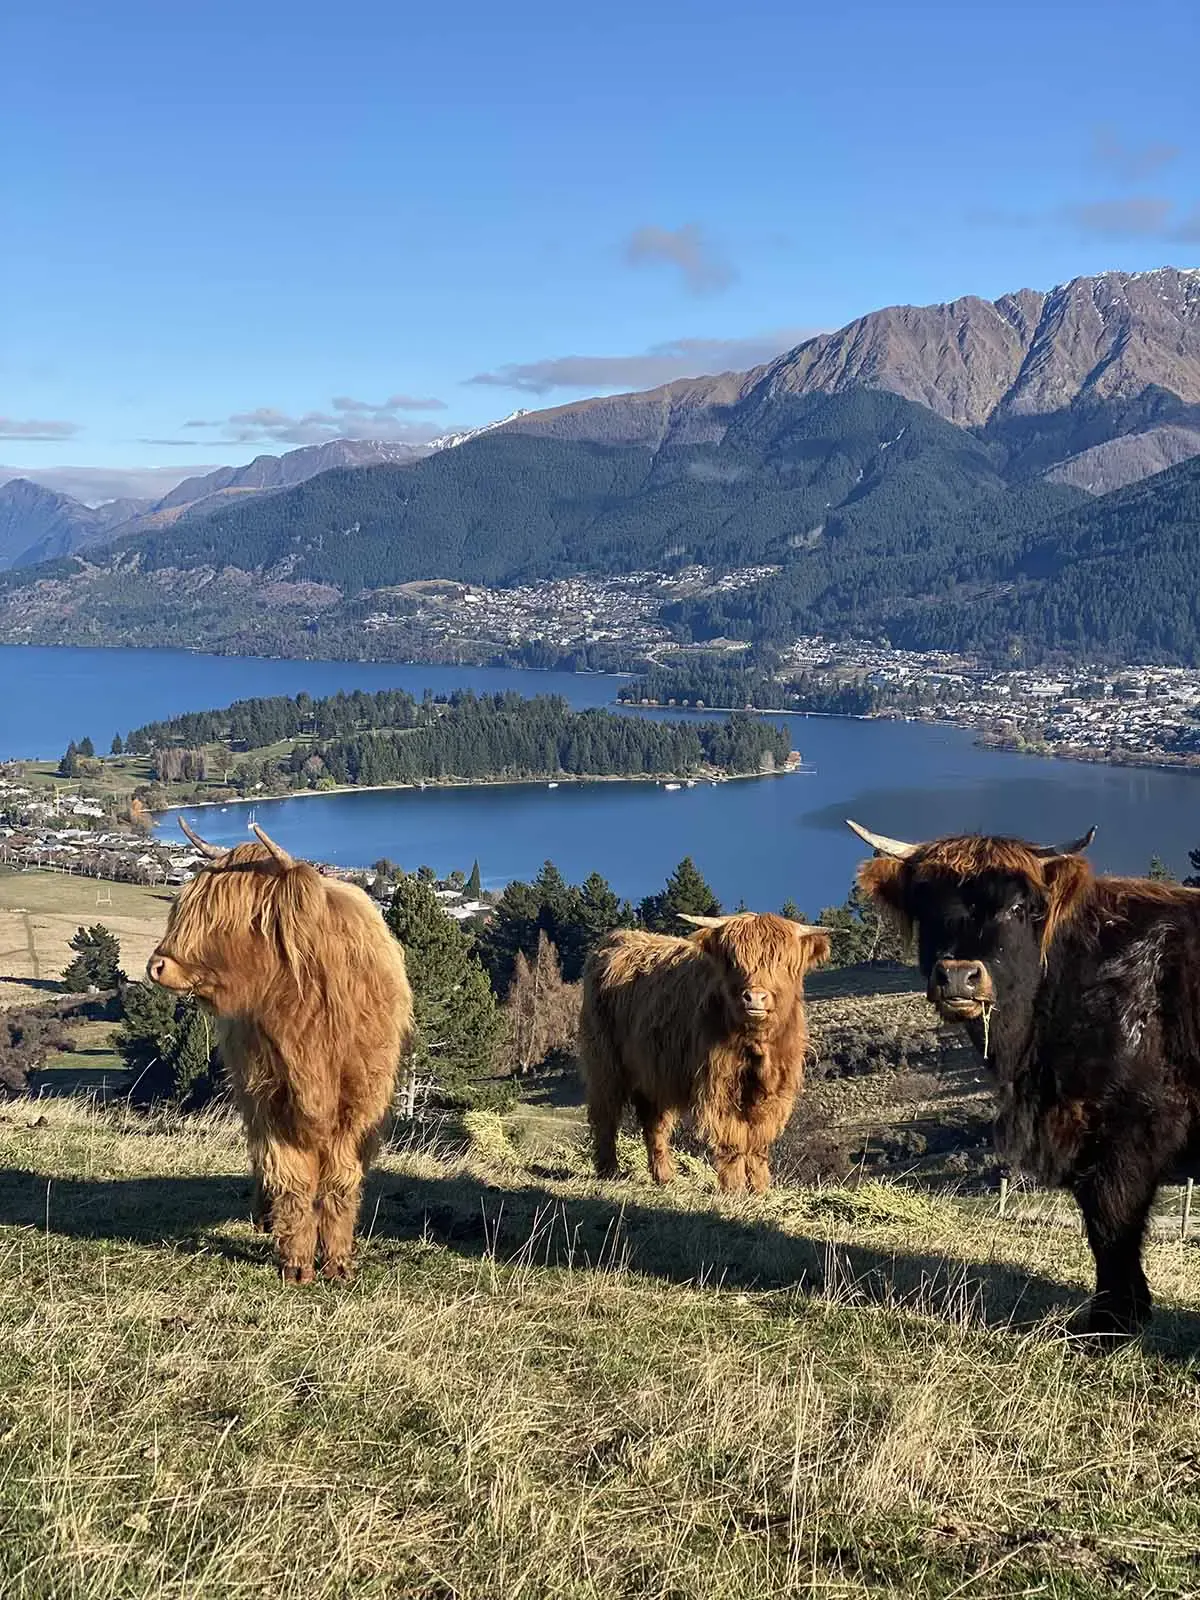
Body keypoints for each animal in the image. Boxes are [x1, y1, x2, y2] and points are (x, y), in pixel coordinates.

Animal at [148, 819, 413, 1284]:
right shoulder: (271, 1102)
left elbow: (340, 1184)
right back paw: (264, 1217)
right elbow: (291, 1179)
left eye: (226, 917)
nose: (157, 966)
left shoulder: (359, 1106)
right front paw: (296, 1263)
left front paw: (338, 1262)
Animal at [579, 912, 832, 1193]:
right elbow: (732, 1138)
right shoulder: (719, 1084)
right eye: (733, 961)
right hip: (604, 1063)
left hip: (654, 1075)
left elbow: (757, 1142)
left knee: (654, 1124)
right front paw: (734, 1188)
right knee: (606, 1113)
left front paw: (759, 1188)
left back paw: (665, 1176)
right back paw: (609, 1170)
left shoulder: (776, 1090)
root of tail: (615, 940)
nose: (754, 998)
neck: (756, 1047)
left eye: (781, 961)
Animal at [847, 815, 1200, 1343]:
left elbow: (1112, 1221)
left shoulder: (1131, 1128)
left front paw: (1108, 1328)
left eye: (1017, 907)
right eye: (928, 904)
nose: (958, 976)